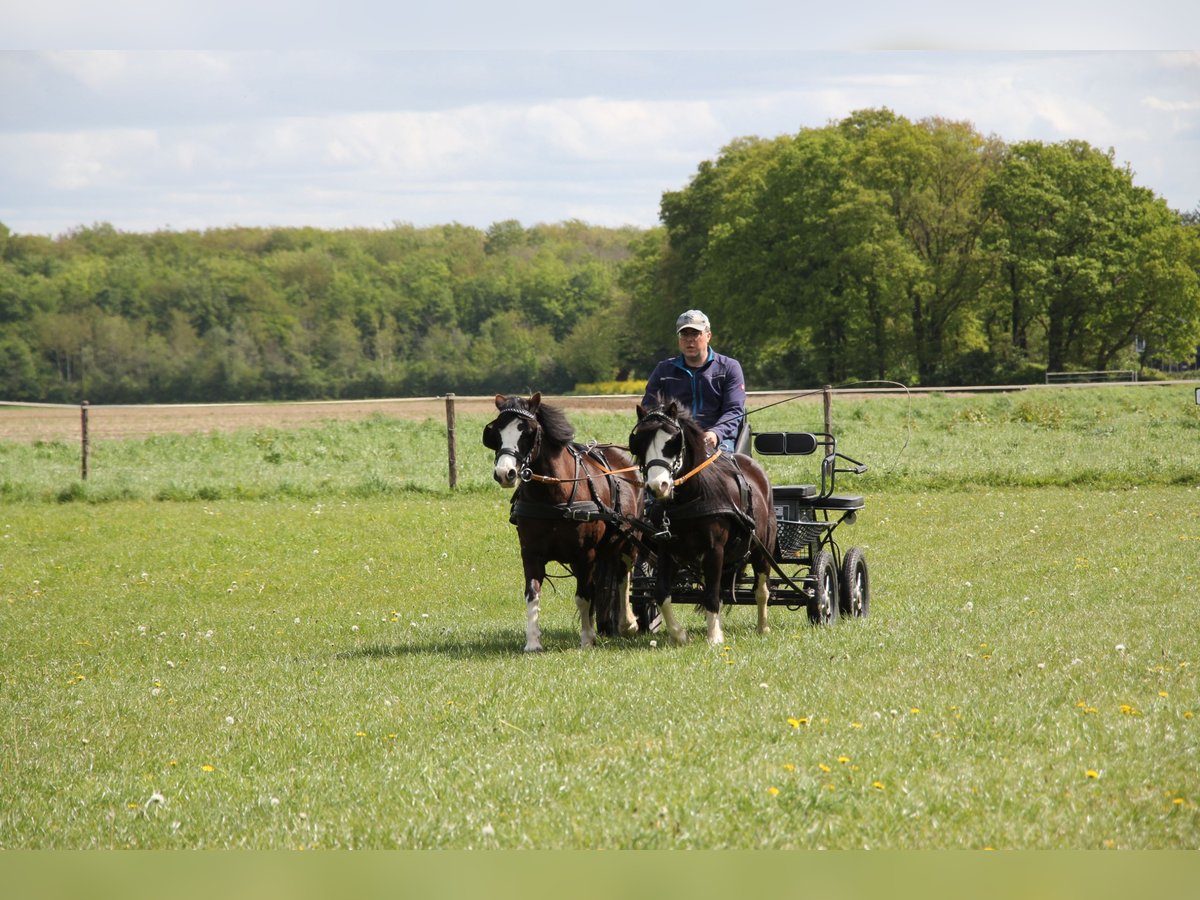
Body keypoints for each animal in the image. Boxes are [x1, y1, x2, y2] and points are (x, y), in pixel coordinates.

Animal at [480, 391, 643, 652]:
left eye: (528, 432)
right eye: (495, 431)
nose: (505, 473)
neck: (553, 495)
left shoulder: (585, 555)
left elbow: (583, 596)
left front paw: (586, 639)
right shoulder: (531, 553)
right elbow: (532, 594)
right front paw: (533, 642)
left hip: (629, 540)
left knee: (623, 573)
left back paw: (627, 623)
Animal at [628, 398, 777, 643]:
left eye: (673, 441)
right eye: (639, 442)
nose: (658, 486)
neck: (691, 499)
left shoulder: (714, 550)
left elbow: (711, 595)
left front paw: (714, 638)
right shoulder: (666, 549)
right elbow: (661, 592)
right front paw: (679, 634)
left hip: (762, 548)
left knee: (761, 589)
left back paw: (763, 627)